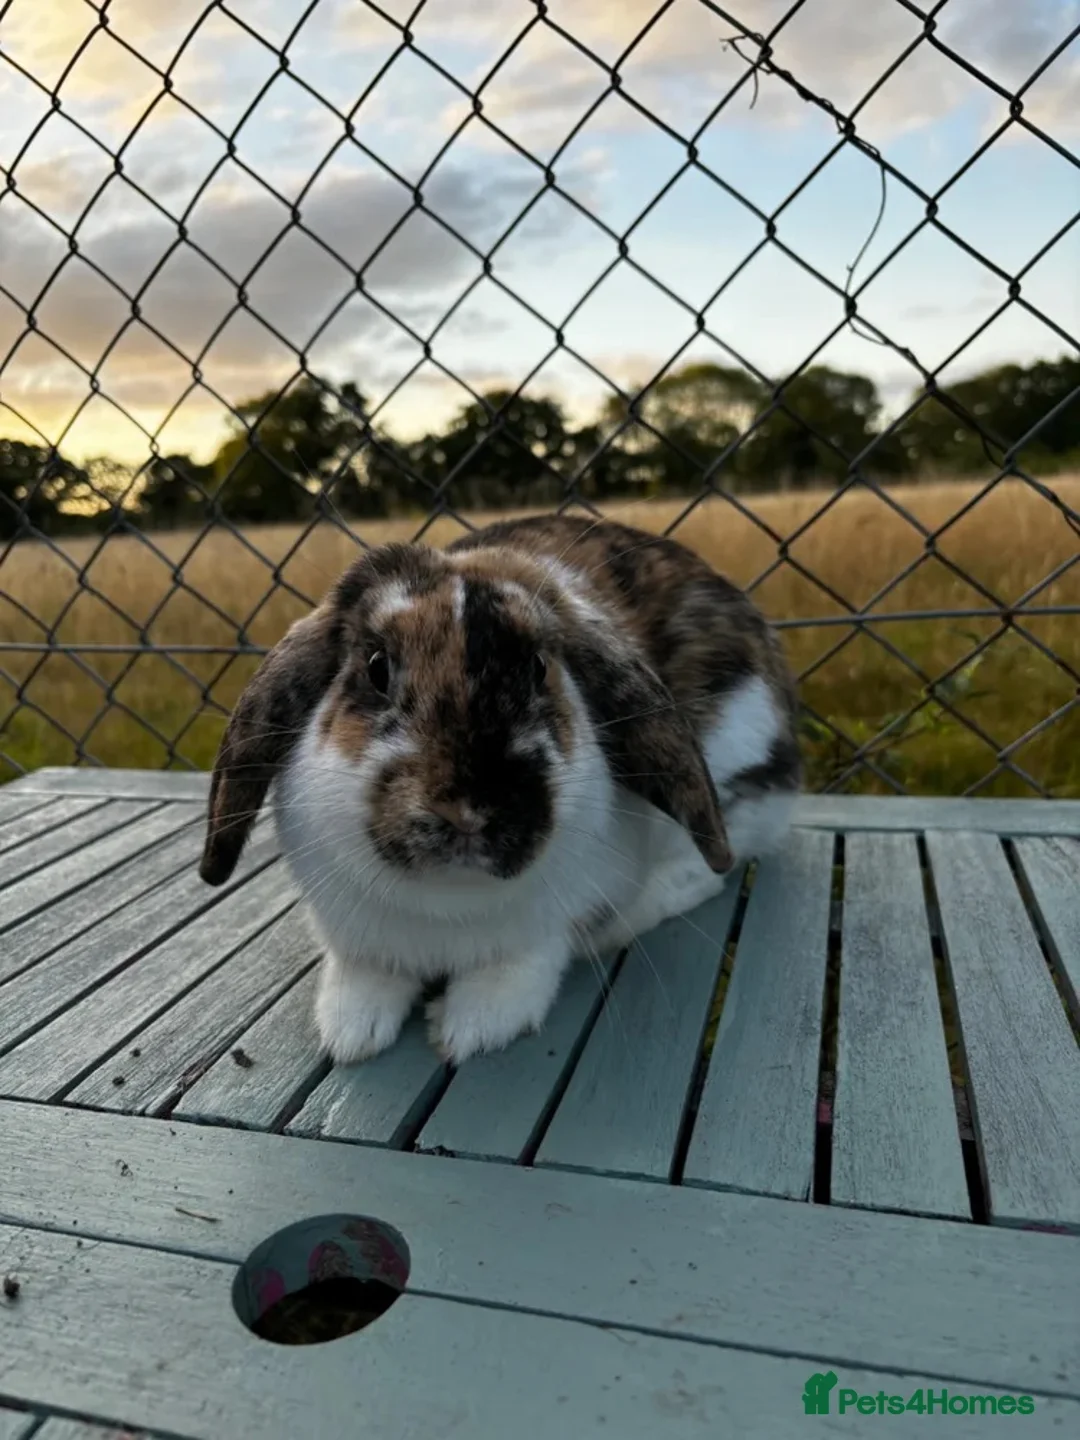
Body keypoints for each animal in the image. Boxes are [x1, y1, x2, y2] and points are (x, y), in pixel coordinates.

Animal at [200, 514, 801, 1067]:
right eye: (376, 667)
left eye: (538, 668)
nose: (469, 811)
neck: (449, 902)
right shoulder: (356, 935)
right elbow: (368, 972)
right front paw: (351, 1032)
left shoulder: (547, 929)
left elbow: (524, 965)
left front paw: (469, 1028)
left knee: (705, 872)